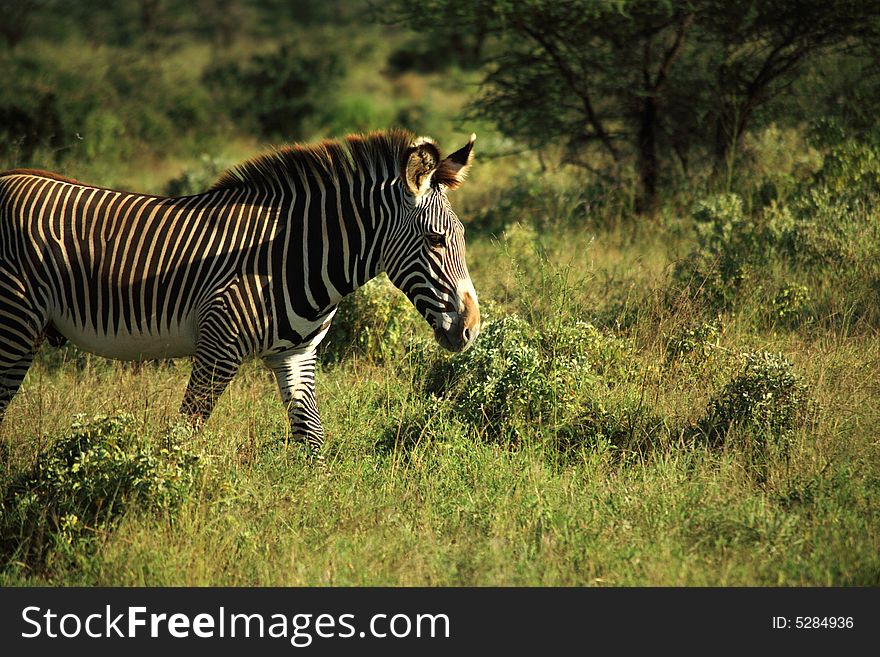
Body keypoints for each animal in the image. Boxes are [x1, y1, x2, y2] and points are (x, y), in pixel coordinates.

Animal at [0, 131, 482, 462]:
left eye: (462, 236)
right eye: (436, 240)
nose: (472, 329)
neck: (287, 254)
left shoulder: (296, 354)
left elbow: (312, 439)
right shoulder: (218, 346)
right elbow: (186, 432)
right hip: (15, 322)